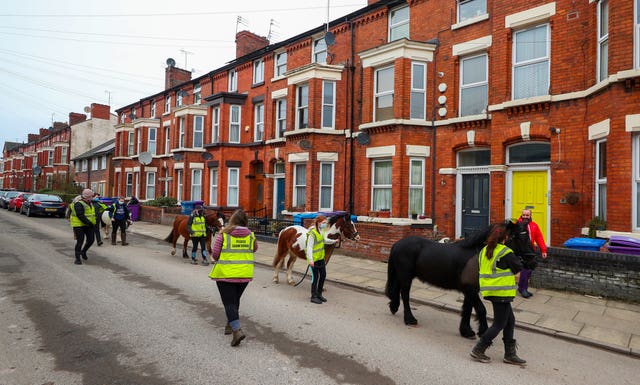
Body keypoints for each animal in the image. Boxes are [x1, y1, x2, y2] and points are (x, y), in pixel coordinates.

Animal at [384, 220, 536, 338]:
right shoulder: (470, 290)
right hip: (406, 276)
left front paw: (466, 331)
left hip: (402, 275)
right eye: (519, 238)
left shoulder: (469, 290)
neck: (477, 255)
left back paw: (394, 306)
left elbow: (467, 309)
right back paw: (409, 319)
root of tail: (397, 244)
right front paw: (483, 331)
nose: (533, 262)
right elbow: (481, 309)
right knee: (405, 294)